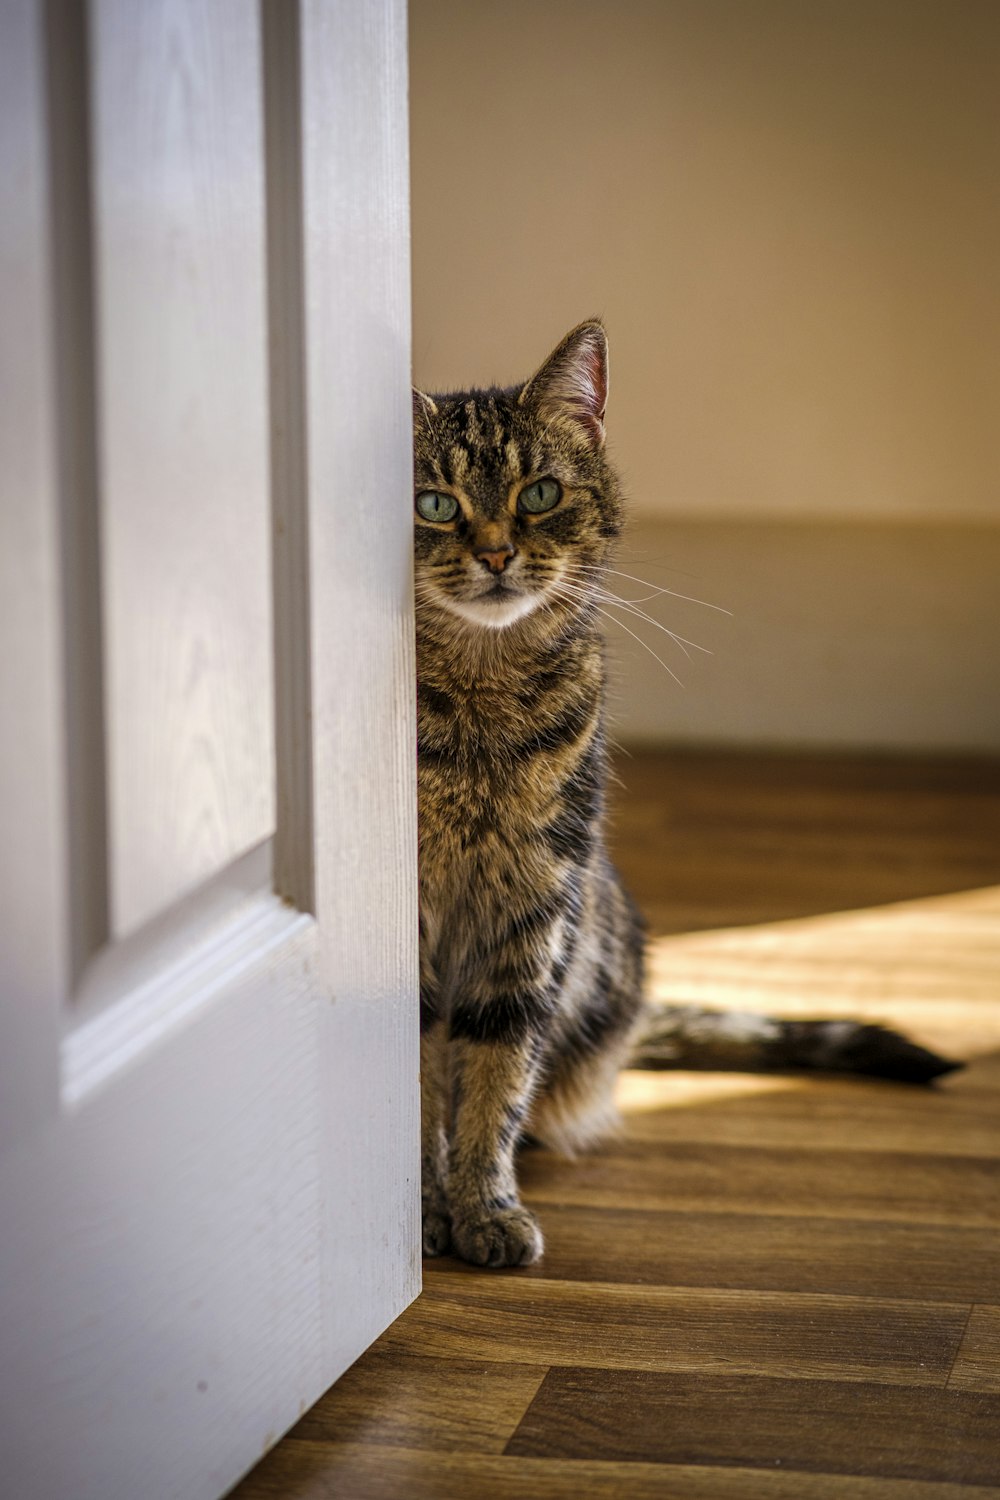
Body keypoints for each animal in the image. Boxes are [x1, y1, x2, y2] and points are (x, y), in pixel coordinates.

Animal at [410, 319, 959, 1266]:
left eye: (540, 493)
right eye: (436, 504)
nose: (495, 554)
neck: (479, 705)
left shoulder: (537, 908)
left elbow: (495, 1070)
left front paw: (483, 1204)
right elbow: (409, 1087)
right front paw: (420, 1211)